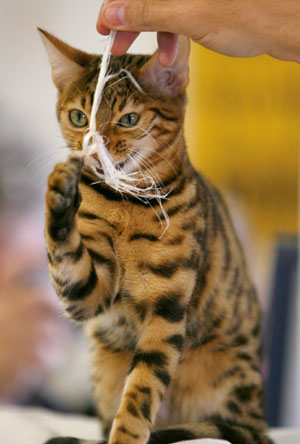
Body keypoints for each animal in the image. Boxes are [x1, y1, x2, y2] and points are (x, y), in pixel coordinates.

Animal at [39, 30, 272, 444]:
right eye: (79, 117)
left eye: (129, 119)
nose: (93, 149)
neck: (125, 204)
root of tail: (256, 419)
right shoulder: (91, 290)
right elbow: (66, 256)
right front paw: (62, 195)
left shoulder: (166, 307)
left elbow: (142, 391)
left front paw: (126, 437)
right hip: (105, 364)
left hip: (225, 383)